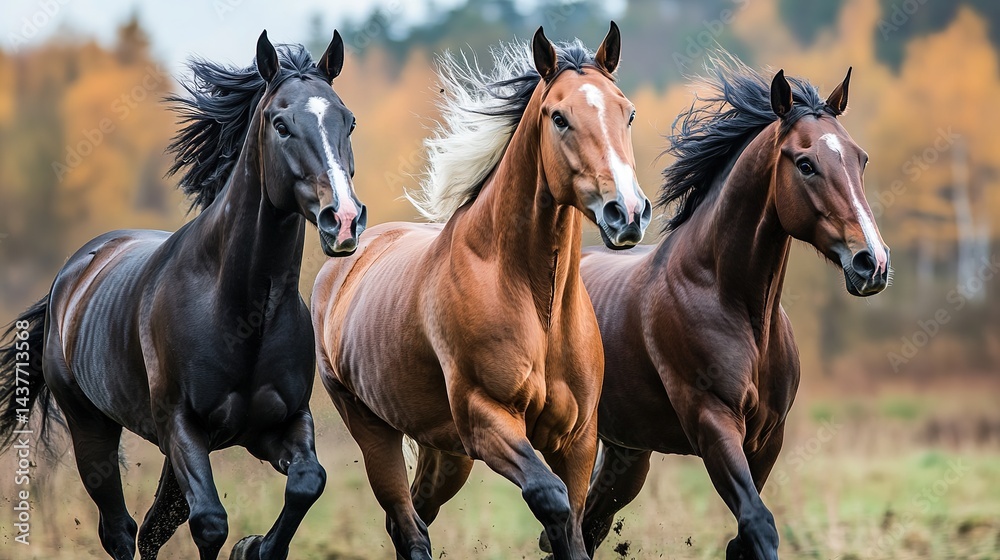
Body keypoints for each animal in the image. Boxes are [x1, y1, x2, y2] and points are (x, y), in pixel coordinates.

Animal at [0, 30, 366, 560]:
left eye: (348, 121)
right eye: (280, 124)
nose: (344, 220)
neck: (242, 313)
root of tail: (71, 273)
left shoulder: (280, 424)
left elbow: (307, 482)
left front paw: (255, 547)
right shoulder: (182, 427)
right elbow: (210, 523)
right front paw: (244, 544)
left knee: (152, 528)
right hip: (92, 426)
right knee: (121, 529)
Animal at [311, 23, 651, 560]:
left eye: (628, 112)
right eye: (559, 117)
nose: (628, 213)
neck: (536, 302)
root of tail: (342, 264)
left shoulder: (577, 437)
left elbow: (573, 526)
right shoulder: (486, 419)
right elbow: (551, 500)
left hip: (445, 452)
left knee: (414, 515)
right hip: (373, 428)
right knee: (405, 521)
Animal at [570, 56, 891, 559]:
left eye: (861, 158)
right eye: (805, 164)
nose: (872, 262)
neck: (736, 306)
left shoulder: (767, 437)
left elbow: (743, 535)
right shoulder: (713, 423)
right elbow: (759, 525)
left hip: (627, 451)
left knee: (589, 523)